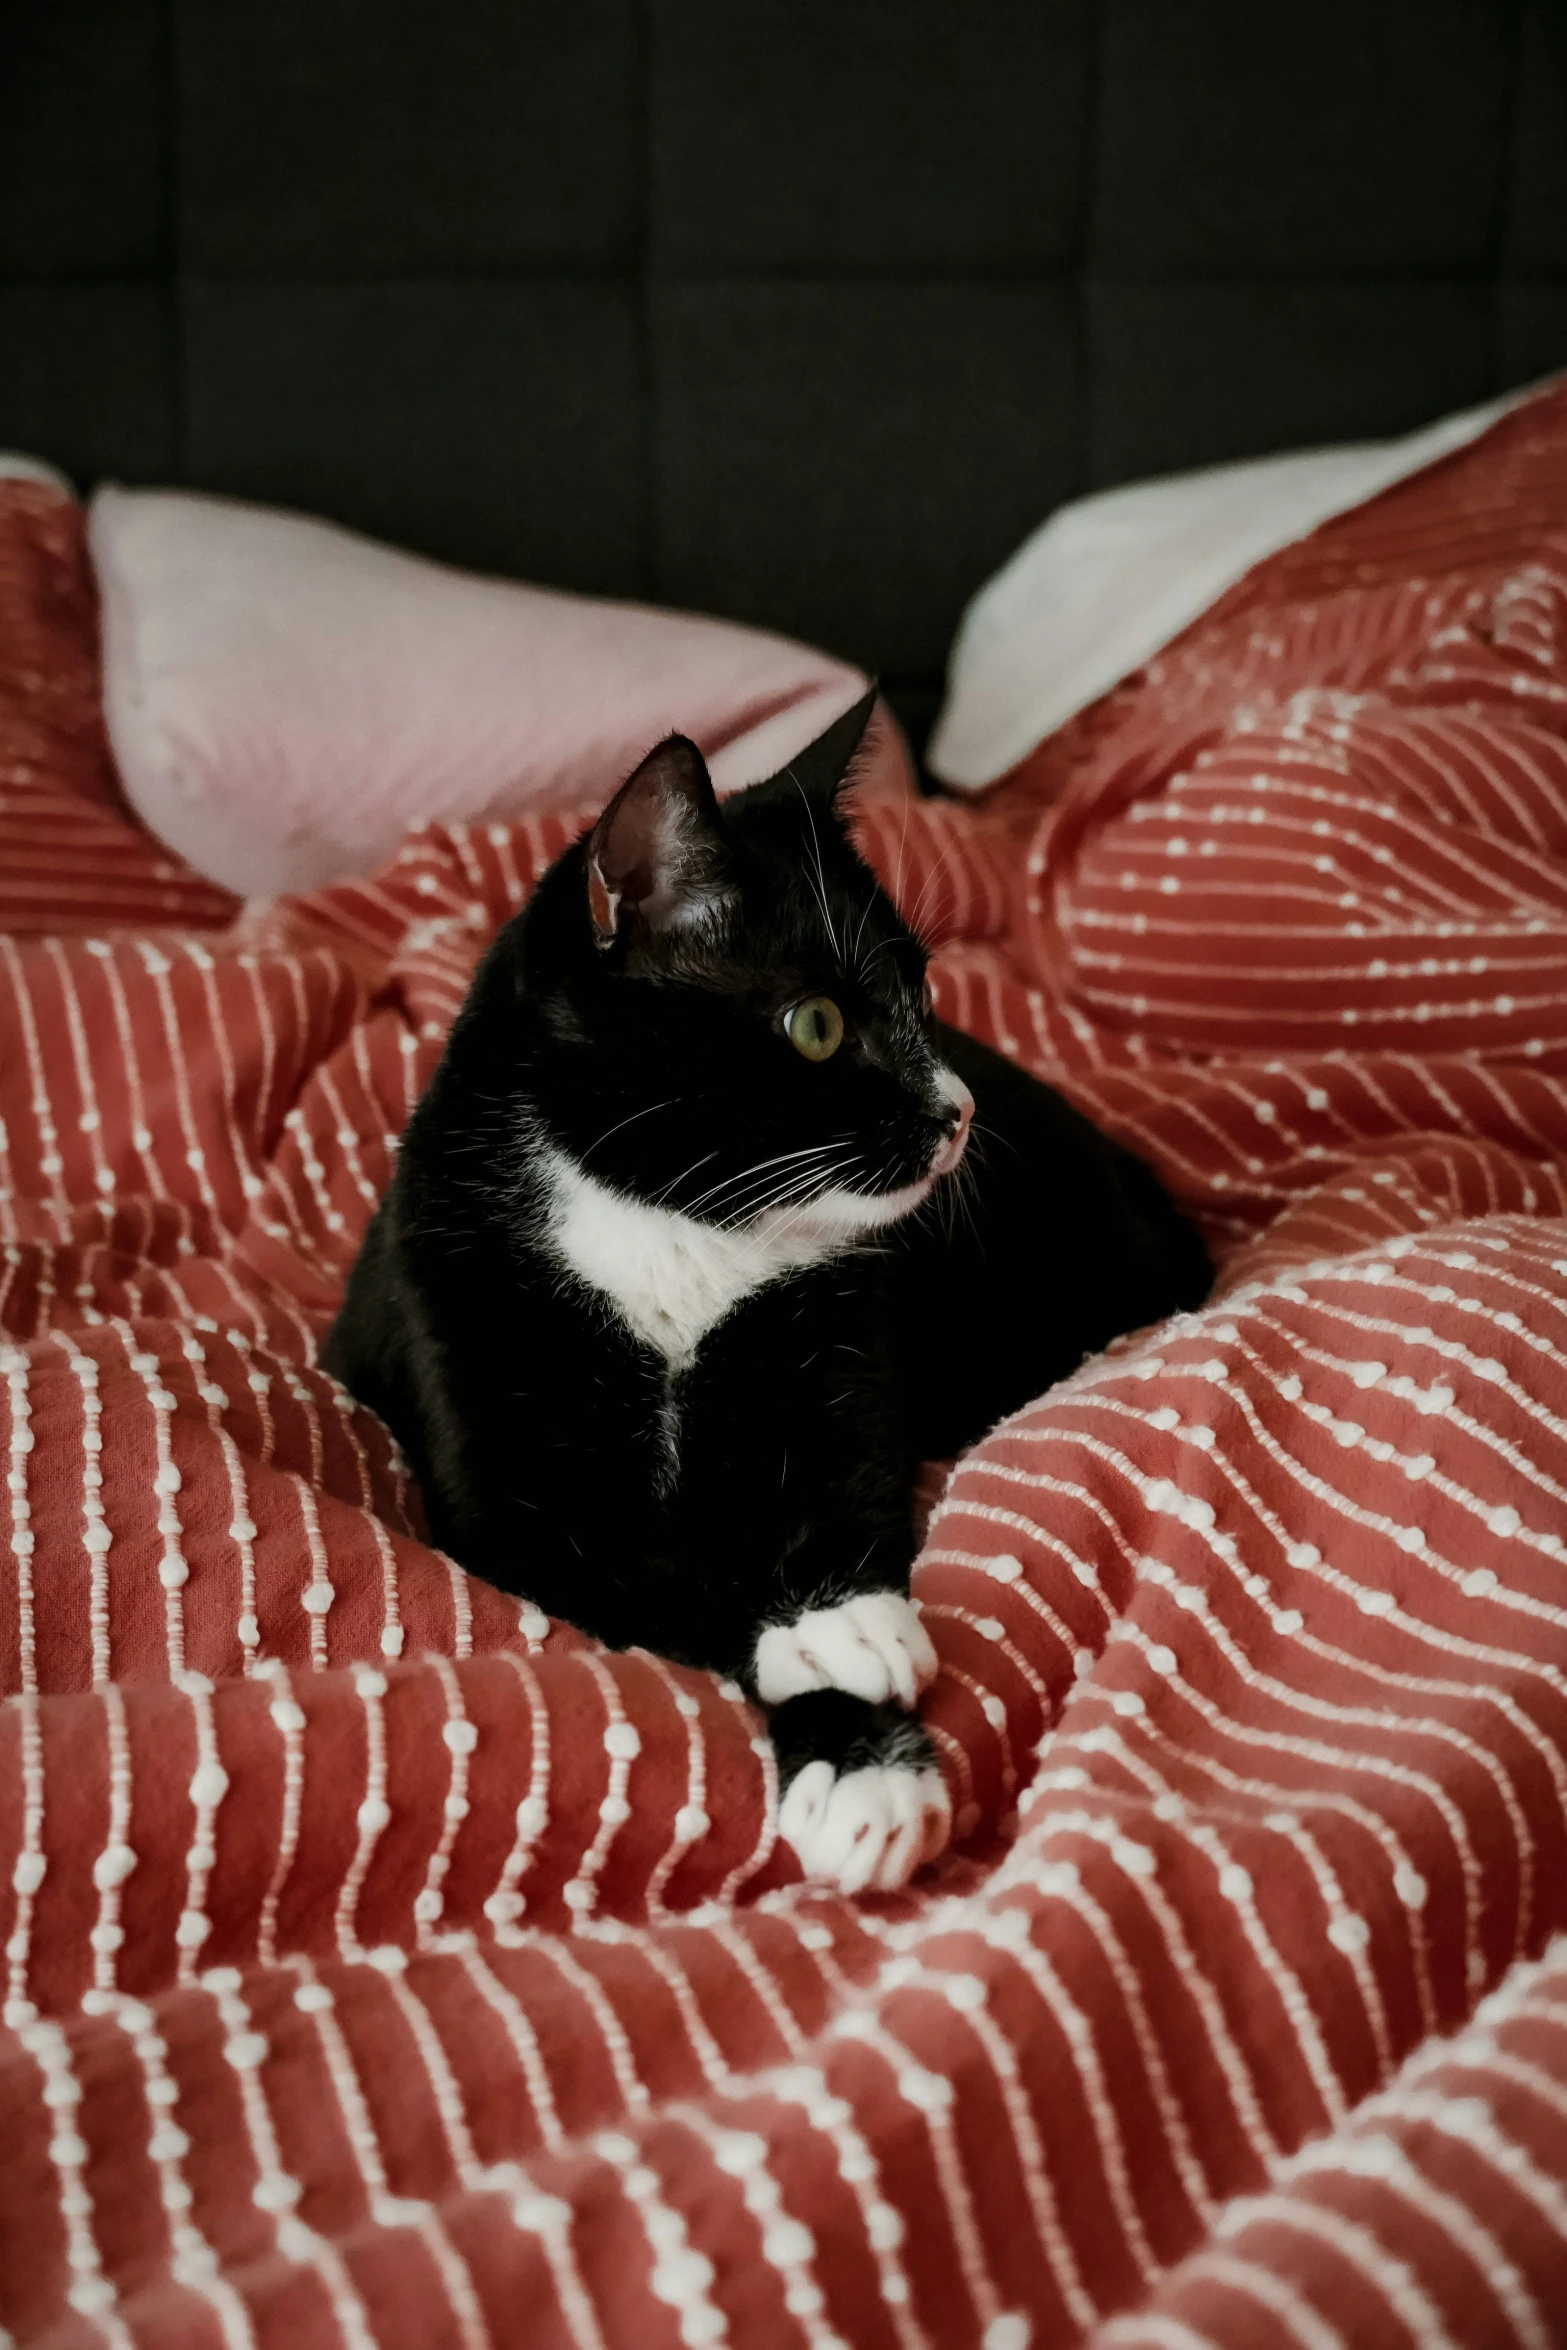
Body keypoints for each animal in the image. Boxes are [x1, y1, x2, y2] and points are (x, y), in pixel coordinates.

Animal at [328, 690, 1212, 1889]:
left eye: (925, 989)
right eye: (816, 1026)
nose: (957, 1112)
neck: (677, 1232)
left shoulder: (836, 1340)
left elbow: (842, 1495)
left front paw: (850, 1677)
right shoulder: (504, 1465)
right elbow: (662, 1582)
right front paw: (832, 1671)